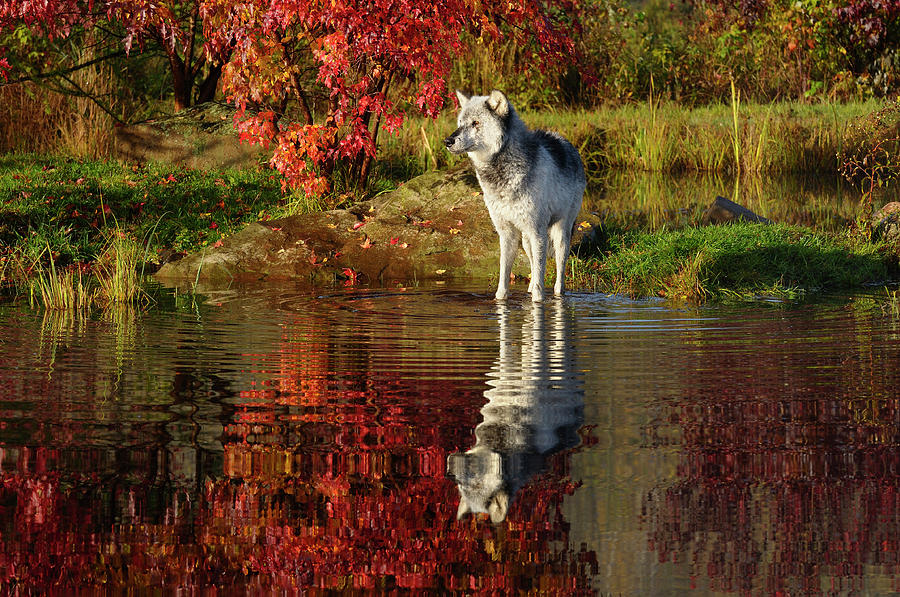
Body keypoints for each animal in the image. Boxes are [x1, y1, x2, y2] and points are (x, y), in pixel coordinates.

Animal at [442, 89, 584, 302]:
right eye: (460, 123)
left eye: (475, 123)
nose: (448, 141)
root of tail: (563, 140)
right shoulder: (506, 234)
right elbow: (503, 276)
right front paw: (501, 300)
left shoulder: (537, 231)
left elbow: (540, 280)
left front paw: (538, 299)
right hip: (525, 239)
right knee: (533, 264)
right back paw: (530, 287)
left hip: (560, 233)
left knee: (559, 271)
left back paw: (558, 293)